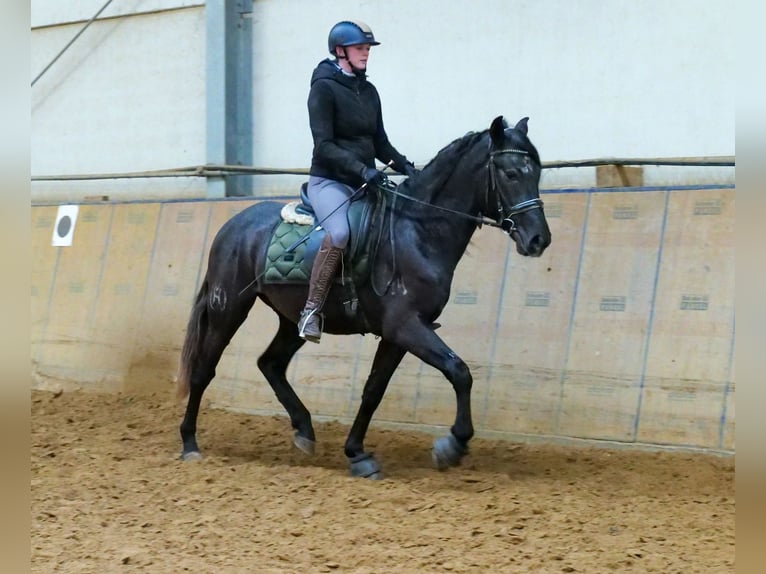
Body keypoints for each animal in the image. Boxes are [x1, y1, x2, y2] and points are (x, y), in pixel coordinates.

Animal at [178, 115, 556, 480]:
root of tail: (233, 226)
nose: (539, 239)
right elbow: (459, 371)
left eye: (536, 172)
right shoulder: (406, 326)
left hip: (292, 318)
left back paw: (304, 431)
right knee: (204, 369)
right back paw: (189, 444)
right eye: (511, 173)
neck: (417, 232)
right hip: (229, 308)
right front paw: (452, 445)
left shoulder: (399, 334)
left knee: (270, 363)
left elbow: (374, 389)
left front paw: (357, 454)